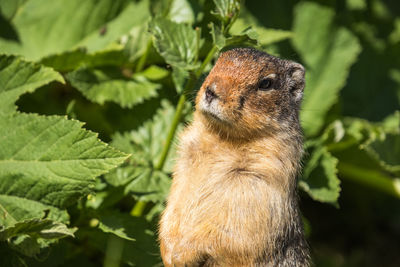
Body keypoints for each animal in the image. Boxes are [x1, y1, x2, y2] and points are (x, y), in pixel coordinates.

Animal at [159, 48, 310, 267]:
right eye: (216, 62)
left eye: (266, 83)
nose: (211, 91)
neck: (223, 140)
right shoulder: (185, 162)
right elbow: (171, 210)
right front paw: (169, 252)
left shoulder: (260, 185)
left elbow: (231, 235)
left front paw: (182, 255)